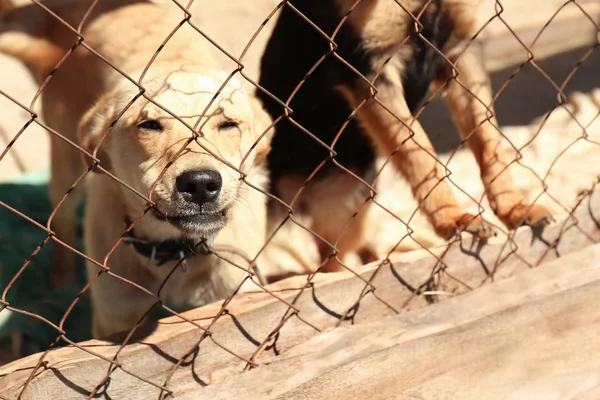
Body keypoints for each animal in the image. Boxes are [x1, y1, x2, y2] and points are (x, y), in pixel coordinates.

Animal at [0, 0, 272, 338]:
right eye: (149, 125)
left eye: (228, 124)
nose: (200, 184)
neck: (175, 251)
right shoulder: (113, 319)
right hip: (67, 164)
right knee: (61, 223)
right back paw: (61, 280)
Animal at [258, 0, 552, 272]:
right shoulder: (372, 71)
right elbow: (421, 154)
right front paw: (453, 218)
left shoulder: (461, 50)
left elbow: (489, 142)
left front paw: (515, 208)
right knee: (330, 261)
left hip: (352, 204)